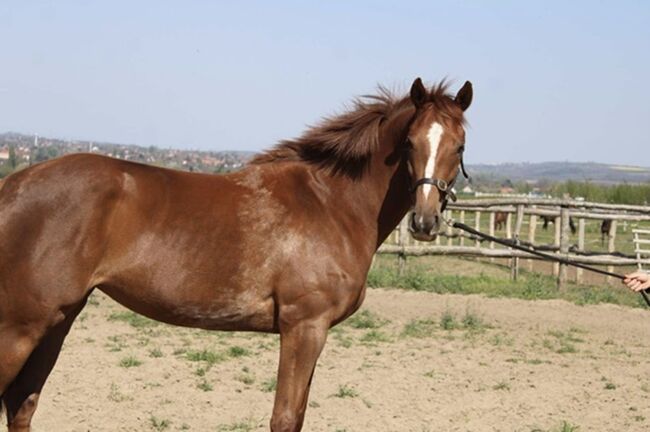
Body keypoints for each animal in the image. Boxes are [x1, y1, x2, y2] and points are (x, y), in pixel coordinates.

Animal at [0, 78, 468, 432]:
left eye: (460, 145)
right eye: (408, 143)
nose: (425, 221)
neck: (330, 202)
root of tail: (14, 186)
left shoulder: (313, 333)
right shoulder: (304, 328)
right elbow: (284, 419)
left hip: (58, 321)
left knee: (23, 404)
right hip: (21, 326)